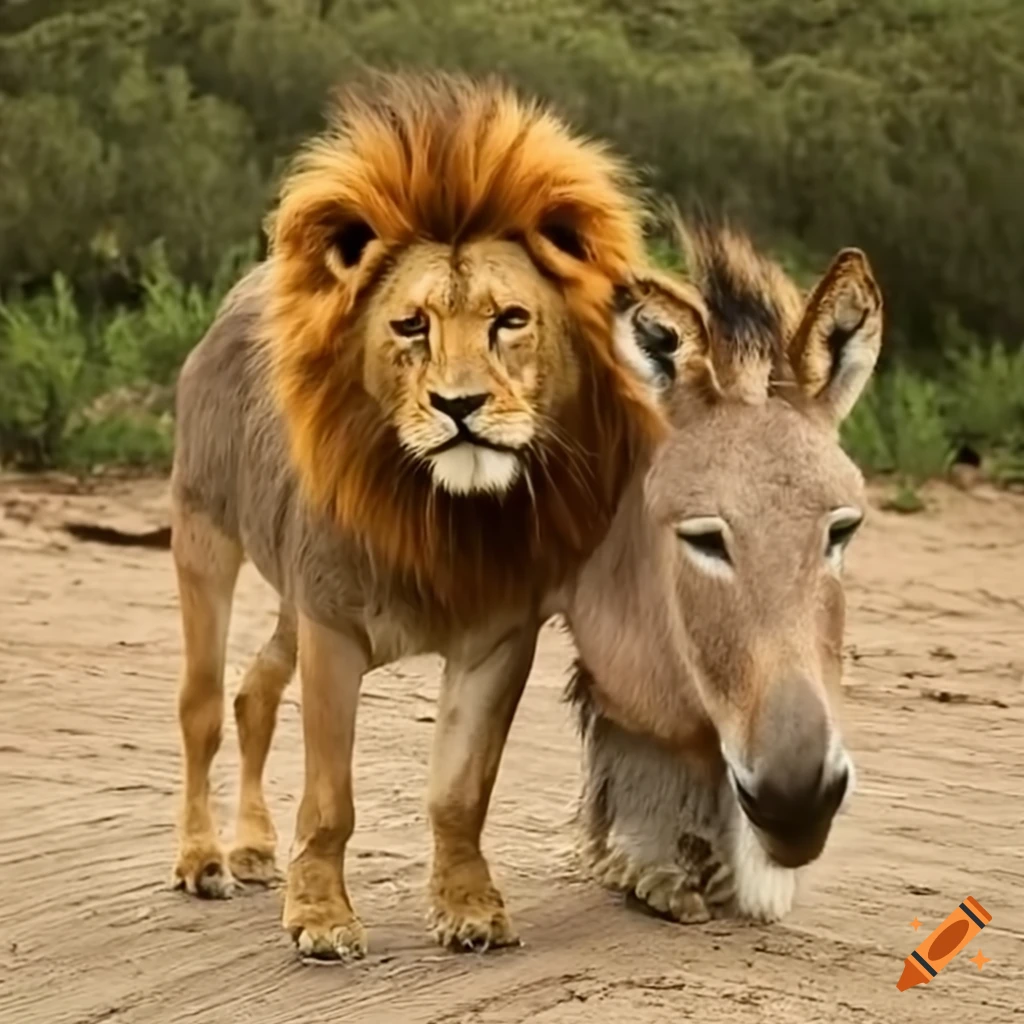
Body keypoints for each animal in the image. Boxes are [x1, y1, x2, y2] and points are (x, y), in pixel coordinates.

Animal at [166, 69, 668, 961]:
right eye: (410, 325)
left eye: (510, 320)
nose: (458, 406)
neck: (444, 513)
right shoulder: (333, 626)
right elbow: (330, 797)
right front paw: (322, 920)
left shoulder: (497, 637)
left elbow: (461, 793)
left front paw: (471, 911)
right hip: (205, 537)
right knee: (203, 706)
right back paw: (204, 861)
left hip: (289, 592)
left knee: (254, 693)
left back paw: (254, 851)